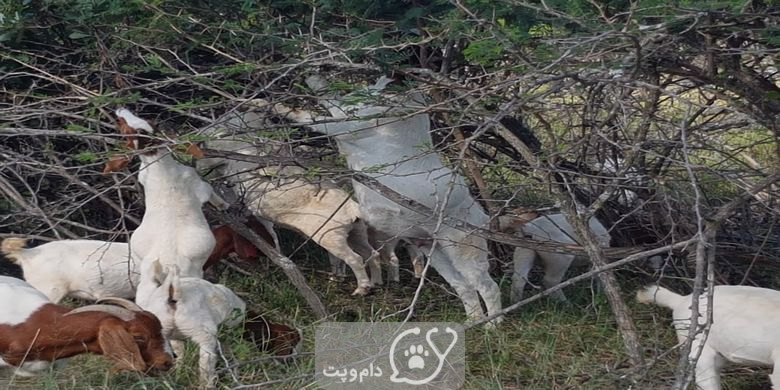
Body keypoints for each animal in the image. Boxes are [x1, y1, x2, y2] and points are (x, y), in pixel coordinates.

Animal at [201, 111, 378, 294]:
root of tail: (353, 208)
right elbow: (271, 234)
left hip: (331, 237)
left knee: (355, 258)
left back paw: (362, 289)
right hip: (356, 232)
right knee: (372, 254)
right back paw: (371, 282)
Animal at [266, 77, 502, 322]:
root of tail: (482, 216)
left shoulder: (348, 126)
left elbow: (311, 117)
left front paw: (272, 105)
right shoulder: (341, 112)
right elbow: (326, 98)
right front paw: (310, 82)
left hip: (464, 247)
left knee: (487, 286)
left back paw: (492, 325)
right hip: (435, 251)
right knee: (464, 287)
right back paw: (473, 321)